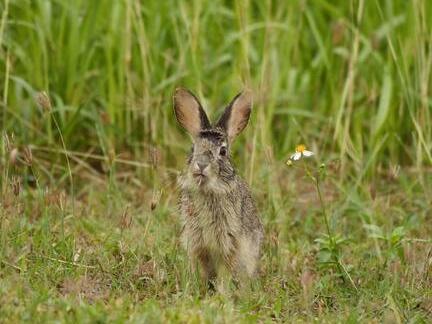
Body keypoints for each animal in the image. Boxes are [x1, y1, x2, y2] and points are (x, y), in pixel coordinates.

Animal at [172, 87, 264, 288]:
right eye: (193, 148)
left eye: (222, 151)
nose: (201, 165)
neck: (208, 190)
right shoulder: (196, 244)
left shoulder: (229, 243)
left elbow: (225, 271)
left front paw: (222, 291)